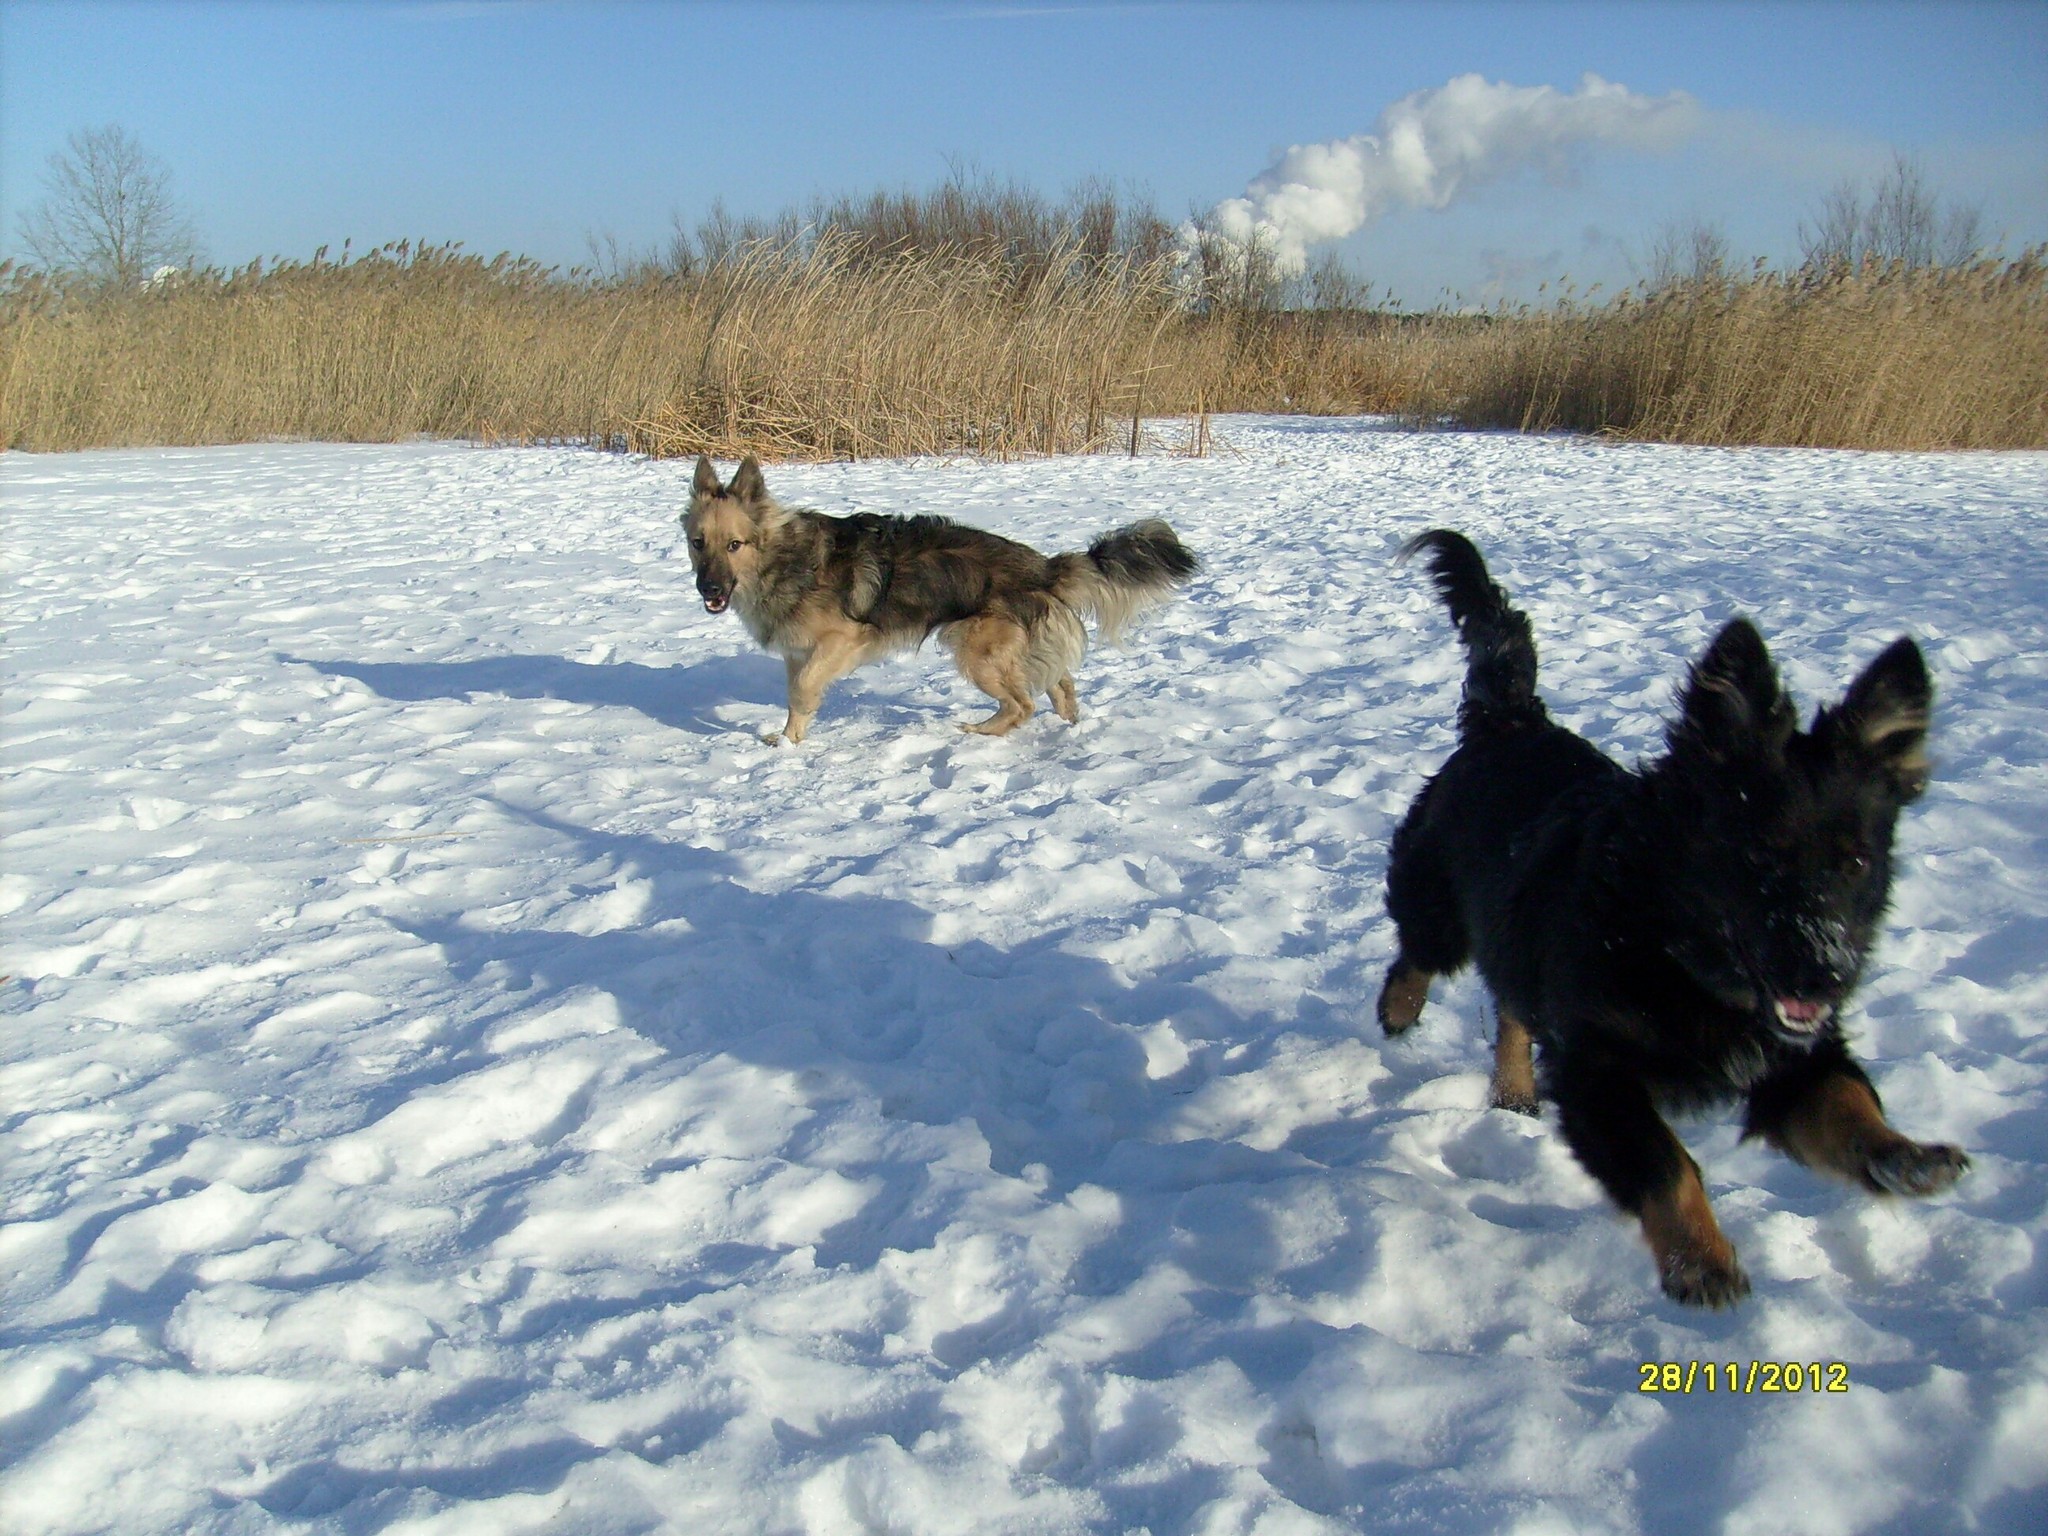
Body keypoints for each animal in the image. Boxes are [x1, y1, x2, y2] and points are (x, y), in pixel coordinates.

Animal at [1376, 532, 1966, 1310]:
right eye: (1758, 855)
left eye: (1857, 863)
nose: (1827, 972)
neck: (1676, 948)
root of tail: (1512, 718)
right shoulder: (1598, 1070)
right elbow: (1667, 1165)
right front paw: (1701, 1260)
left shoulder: (1794, 1055)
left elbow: (1847, 1102)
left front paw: (1903, 1156)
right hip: (1440, 907)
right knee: (1419, 952)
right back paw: (1400, 1007)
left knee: (1510, 1005)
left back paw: (1514, 1092)